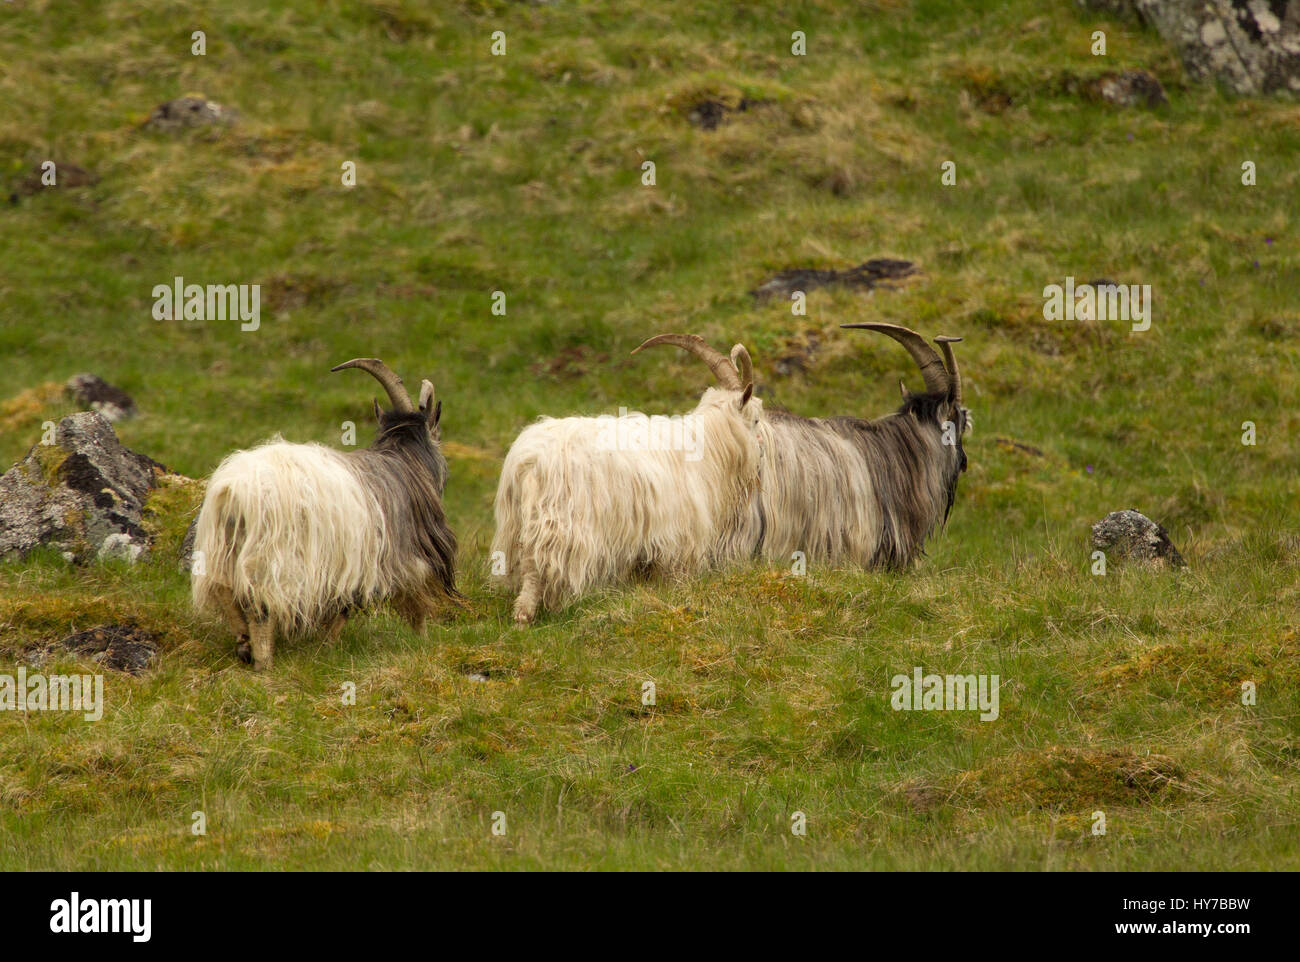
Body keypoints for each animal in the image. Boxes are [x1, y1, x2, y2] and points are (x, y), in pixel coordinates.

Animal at [189, 358, 460, 670]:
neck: (405, 462)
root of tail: (234, 491)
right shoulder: (394, 557)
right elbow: (386, 603)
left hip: (220, 546)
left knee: (223, 590)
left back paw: (244, 644)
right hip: (272, 556)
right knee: (260, 604)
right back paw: (263, 660)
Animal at [493, 353, 764, 624]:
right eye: (756, 420)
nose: (762, 450)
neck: (709, 445)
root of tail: (528, 461)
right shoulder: (680, 536)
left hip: (518, 524)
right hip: (559, 525)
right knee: (536, 569)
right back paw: (530, 615)